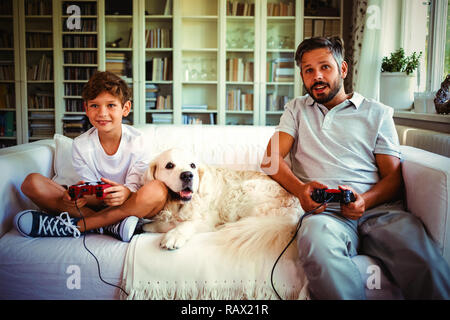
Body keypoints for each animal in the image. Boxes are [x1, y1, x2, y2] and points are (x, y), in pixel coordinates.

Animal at [141, 148, 302, 258]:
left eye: (192, 165)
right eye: (169, 165)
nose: (187, 175)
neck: (178, 205)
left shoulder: (208, 219)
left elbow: (187, 223)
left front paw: (174, 234)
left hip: (241, 191)